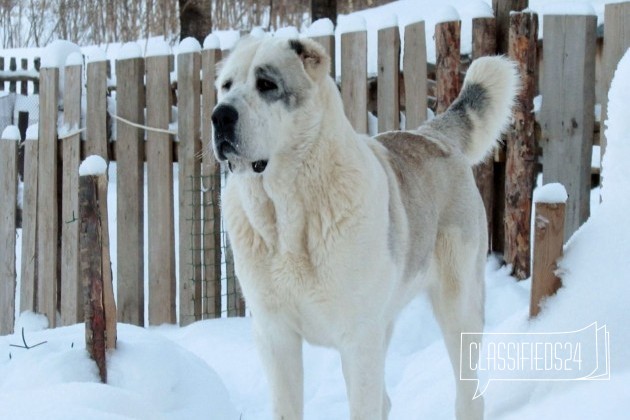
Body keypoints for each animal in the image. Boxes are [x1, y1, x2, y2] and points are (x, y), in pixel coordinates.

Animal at [212, 37, 520, 420]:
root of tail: (431, 133)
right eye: (225, 86)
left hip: (459, 306)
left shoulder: (358, 339)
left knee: (468, 393)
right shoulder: (275, 335)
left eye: (266, 84)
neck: (287, 212)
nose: (220, 116)